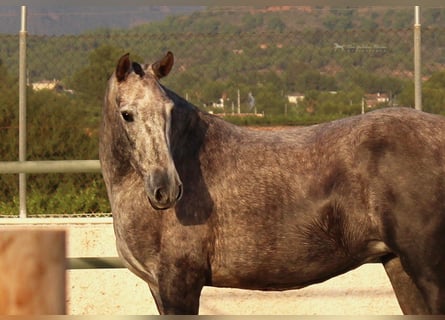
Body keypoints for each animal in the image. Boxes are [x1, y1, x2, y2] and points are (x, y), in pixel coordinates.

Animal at [99, 51, 444, 314]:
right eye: (127, 114)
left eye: (168, 111)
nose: (166, 189)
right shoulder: (159, 287)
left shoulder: (179, 284)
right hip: (399, 266)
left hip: (427, 271)